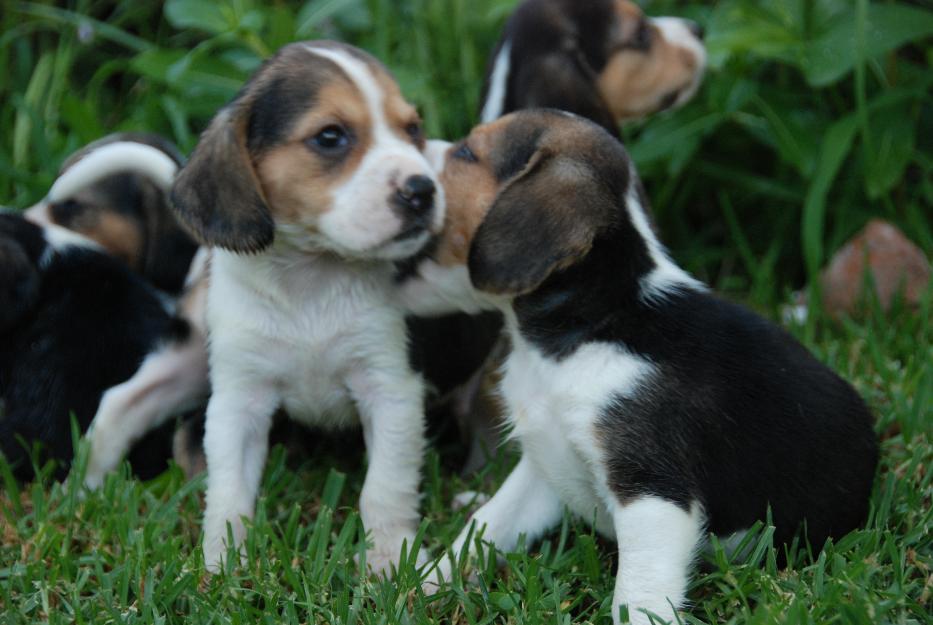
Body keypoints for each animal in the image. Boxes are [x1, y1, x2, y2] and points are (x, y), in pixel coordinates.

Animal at [172, 41, 448, 572]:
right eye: (330, 137)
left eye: (412, 129)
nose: (422, 190)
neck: (313, 278)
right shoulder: (239, 400)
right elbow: (229, 494)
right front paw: (221, 564)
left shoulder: (391, 389)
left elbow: (384, 490)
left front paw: (391, 560)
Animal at [406, 109, 872, 620]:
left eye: (467, 153)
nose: (410, 179)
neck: (591, 325)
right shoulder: (544, 463)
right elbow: (486, 525)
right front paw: (424, 583)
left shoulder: (652, 493)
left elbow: (637, 593)